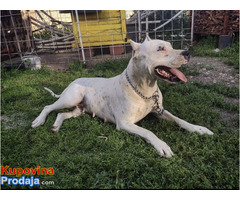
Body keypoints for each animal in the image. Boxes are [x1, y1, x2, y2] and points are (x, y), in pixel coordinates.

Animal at [32, 36, 214, 157]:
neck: (144, 89)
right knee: (49, 107)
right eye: (160, 48)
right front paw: (161, 145)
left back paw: (56, 126)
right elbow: (148, 132)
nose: (187, 52)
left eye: (170, 45)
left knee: (62, 114)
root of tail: (74, 80)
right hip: (71, 98)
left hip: (79, 109)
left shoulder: (159, 110)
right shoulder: (125, 123)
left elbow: (179, 120)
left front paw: (198, 129)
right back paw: (39, 120)